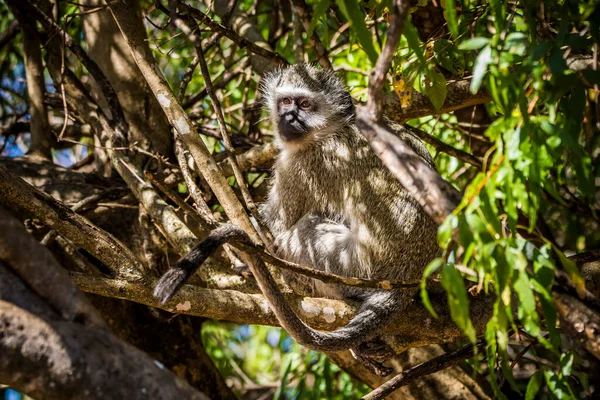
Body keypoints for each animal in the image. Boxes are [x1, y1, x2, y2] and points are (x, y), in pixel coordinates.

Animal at [152, 63, 438, 376]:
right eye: (286, 101)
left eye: (305, 104)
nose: (288, 116)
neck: (335, 128)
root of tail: (406, 280)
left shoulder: (304, 165)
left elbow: (273, 229)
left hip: (354, 268)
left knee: (304, 229)